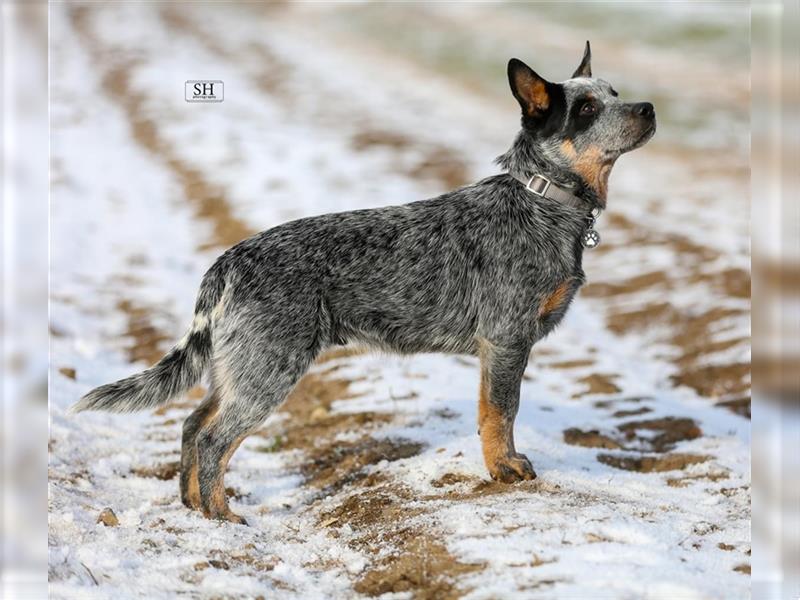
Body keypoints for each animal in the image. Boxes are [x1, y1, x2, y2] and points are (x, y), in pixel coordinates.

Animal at [72, 42, 652, 524]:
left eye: (614, 93)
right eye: (586, 109)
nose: (647, 108)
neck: (542, 199)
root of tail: (228, 262)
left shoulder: (502, 345)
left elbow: (493, 411)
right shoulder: (507, 339)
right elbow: (500, 413)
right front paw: (503, 470)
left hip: (235, 368)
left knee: (193, 424)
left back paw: (193, 506)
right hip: (268, 370)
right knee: (215, 438)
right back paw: (221, 516)